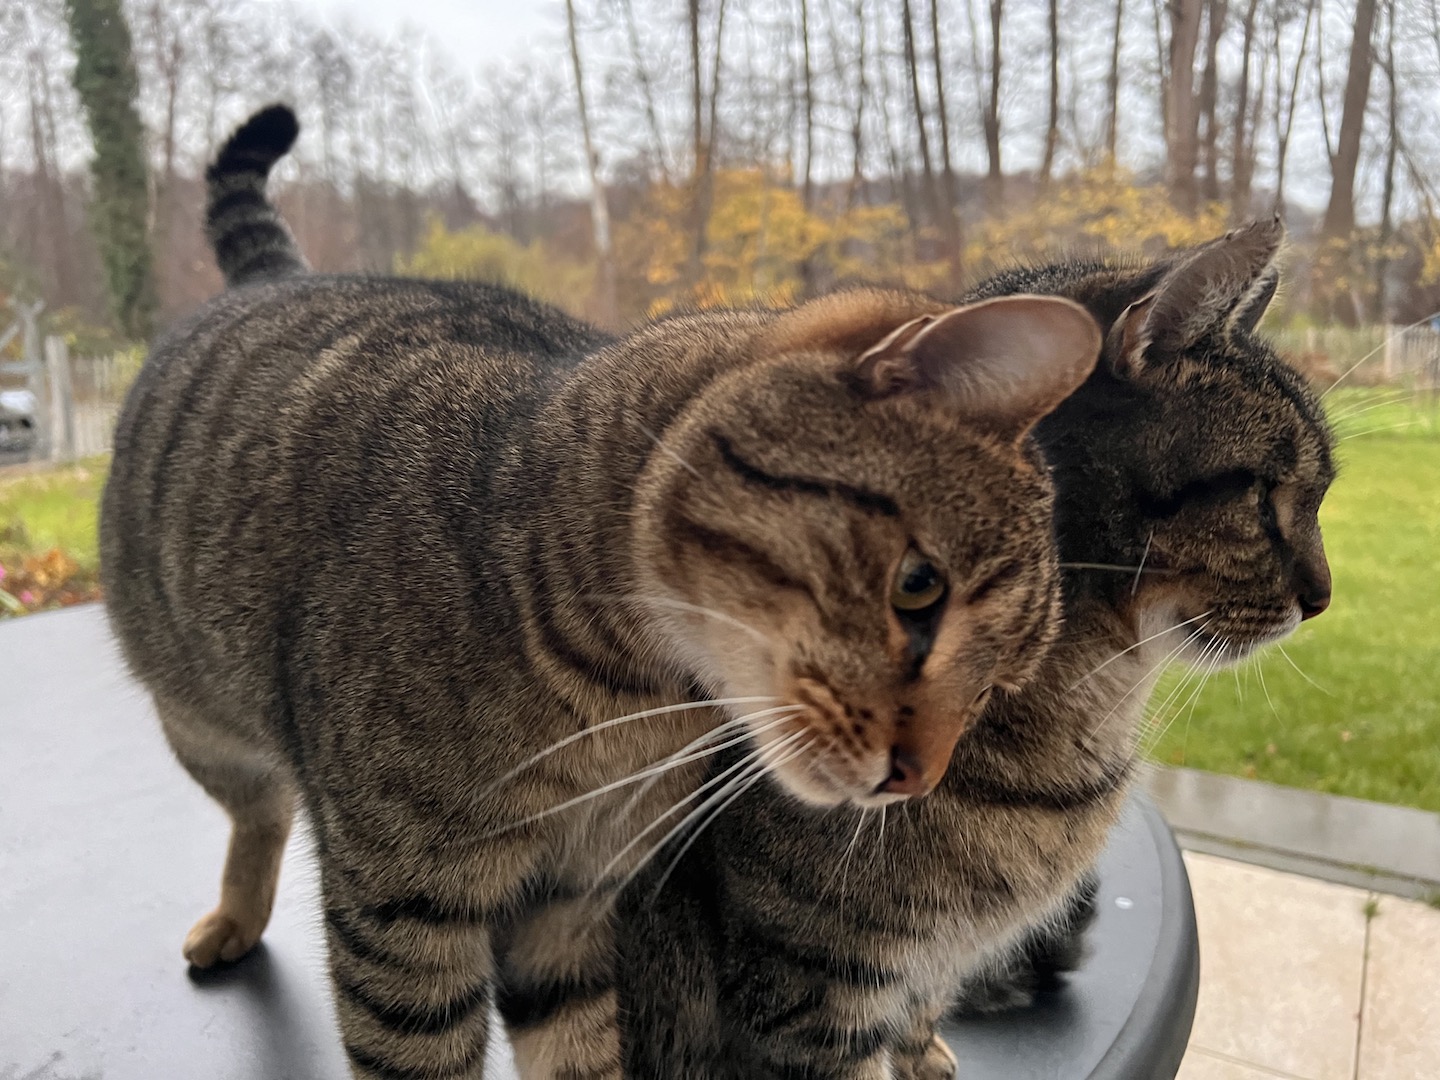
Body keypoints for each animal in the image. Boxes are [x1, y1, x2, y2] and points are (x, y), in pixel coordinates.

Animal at [99, 104, 1103, 1080]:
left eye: (998, 686)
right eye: (918, 590)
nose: (913, 781)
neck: (621, 703)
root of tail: (272, 278)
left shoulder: (574, 903)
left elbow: (579, 1048)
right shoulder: (404, 907)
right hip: (203, 728)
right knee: (258, 813)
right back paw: (233, 914)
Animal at [614, 217, 1336, 1080]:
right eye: (1263, 495)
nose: (1324, 599)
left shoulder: (922, 964)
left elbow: (922, 1007)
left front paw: (925, 1056)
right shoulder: (807, 983)